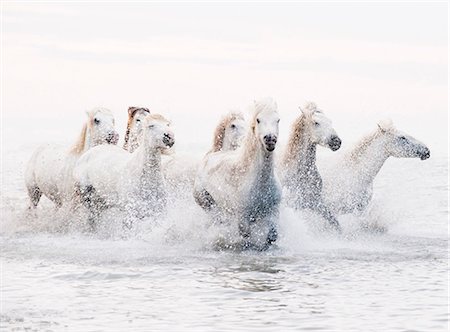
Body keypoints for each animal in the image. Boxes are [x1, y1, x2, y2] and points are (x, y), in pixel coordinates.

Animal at [193, 98, 282, 249]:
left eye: (278, 119)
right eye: (258, 120)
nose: (270, 139)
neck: (261, 183)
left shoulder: (273, 211)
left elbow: (272, 235)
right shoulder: (242, 217)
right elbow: (246, 237)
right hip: (207, 203)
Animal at [282, 102, 342, 230]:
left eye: (330, 121)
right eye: (316, 123)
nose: (336, 141)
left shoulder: (315, 202)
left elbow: (335, 223)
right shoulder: (296, 205)